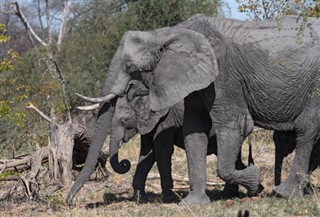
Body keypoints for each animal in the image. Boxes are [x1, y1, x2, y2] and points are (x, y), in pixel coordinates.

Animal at [67, 15, 320, 205]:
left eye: (129, 66)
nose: (69, 201)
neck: (167, 33)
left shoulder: (222, 74)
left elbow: (235, 125)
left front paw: (255, 179)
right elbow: (193, 131)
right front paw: (193, 203)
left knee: (305, 129)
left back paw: (283, 194)